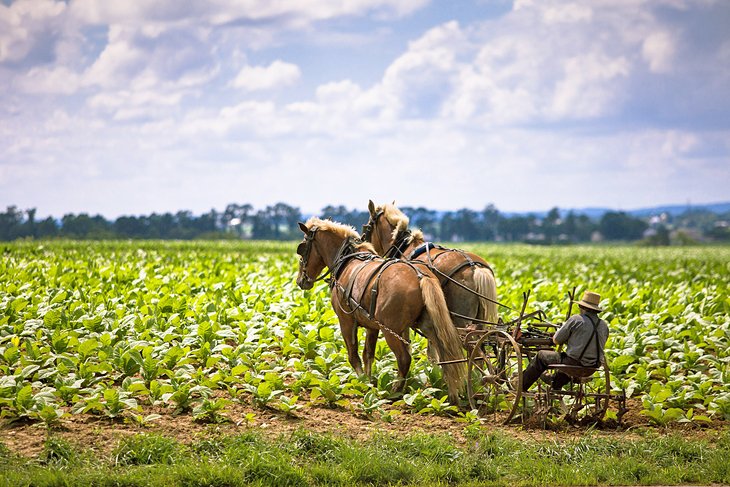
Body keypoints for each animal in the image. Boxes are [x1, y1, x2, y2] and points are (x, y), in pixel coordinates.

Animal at [294, 219, 460, 402]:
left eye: (302, 248)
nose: (300, 281)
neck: (347, 260)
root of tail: (421, 276)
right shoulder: (371, 325)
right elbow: (368, 354)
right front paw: (369, 381)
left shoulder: (346, 321)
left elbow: (353, 355)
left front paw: (361, 381)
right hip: (427, 326)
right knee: (445, 356)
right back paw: (451, 393)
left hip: (391, 330)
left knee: (404, 358)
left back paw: (396, 390)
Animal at [362, 200, 498, 330]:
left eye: (367, 226)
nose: (363, 241)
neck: (405, 247)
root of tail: (474, 267)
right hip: (479, 320)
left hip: (462, 320)